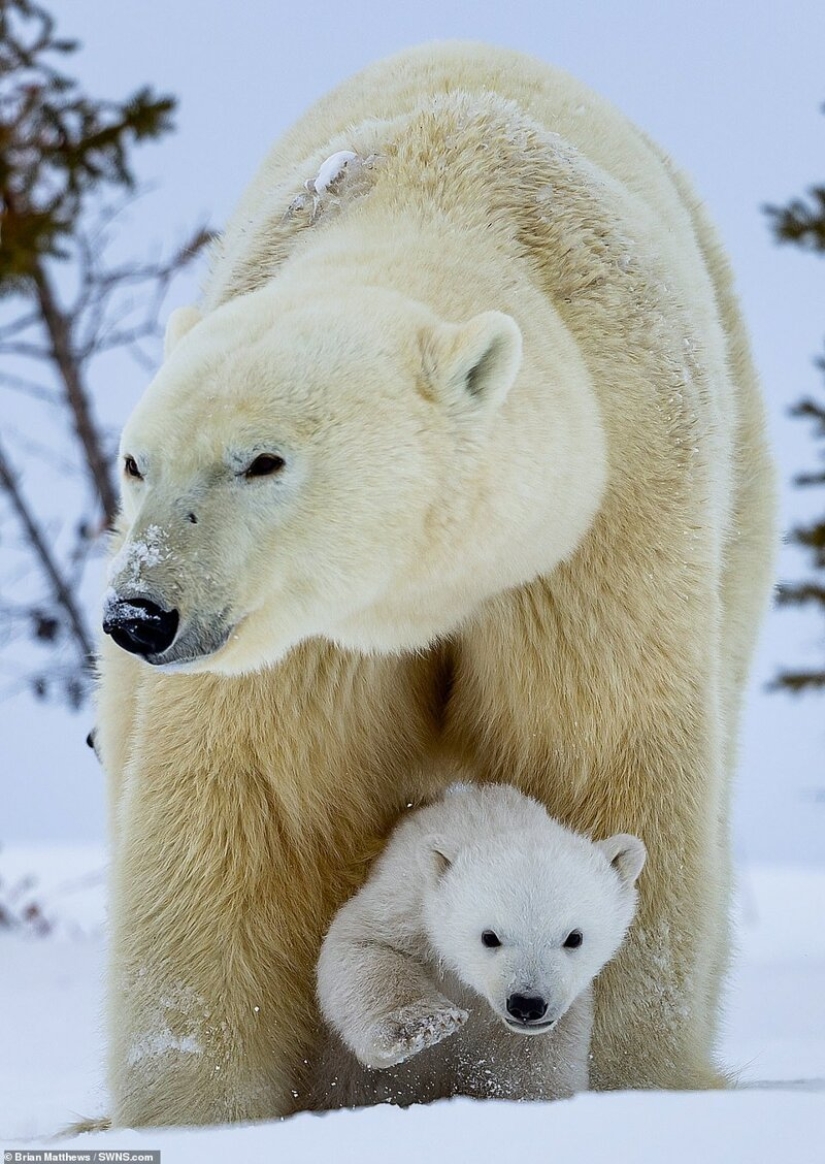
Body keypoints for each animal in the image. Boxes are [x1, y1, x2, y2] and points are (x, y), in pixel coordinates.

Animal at [98, 41, 772, 1122]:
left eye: (262, 460)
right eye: (136, 462)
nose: (141, 615)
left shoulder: (609, 525)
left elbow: (606, 757)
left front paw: (627, 1078)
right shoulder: (306, 640)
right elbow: (249, 804)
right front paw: (202, 1111)